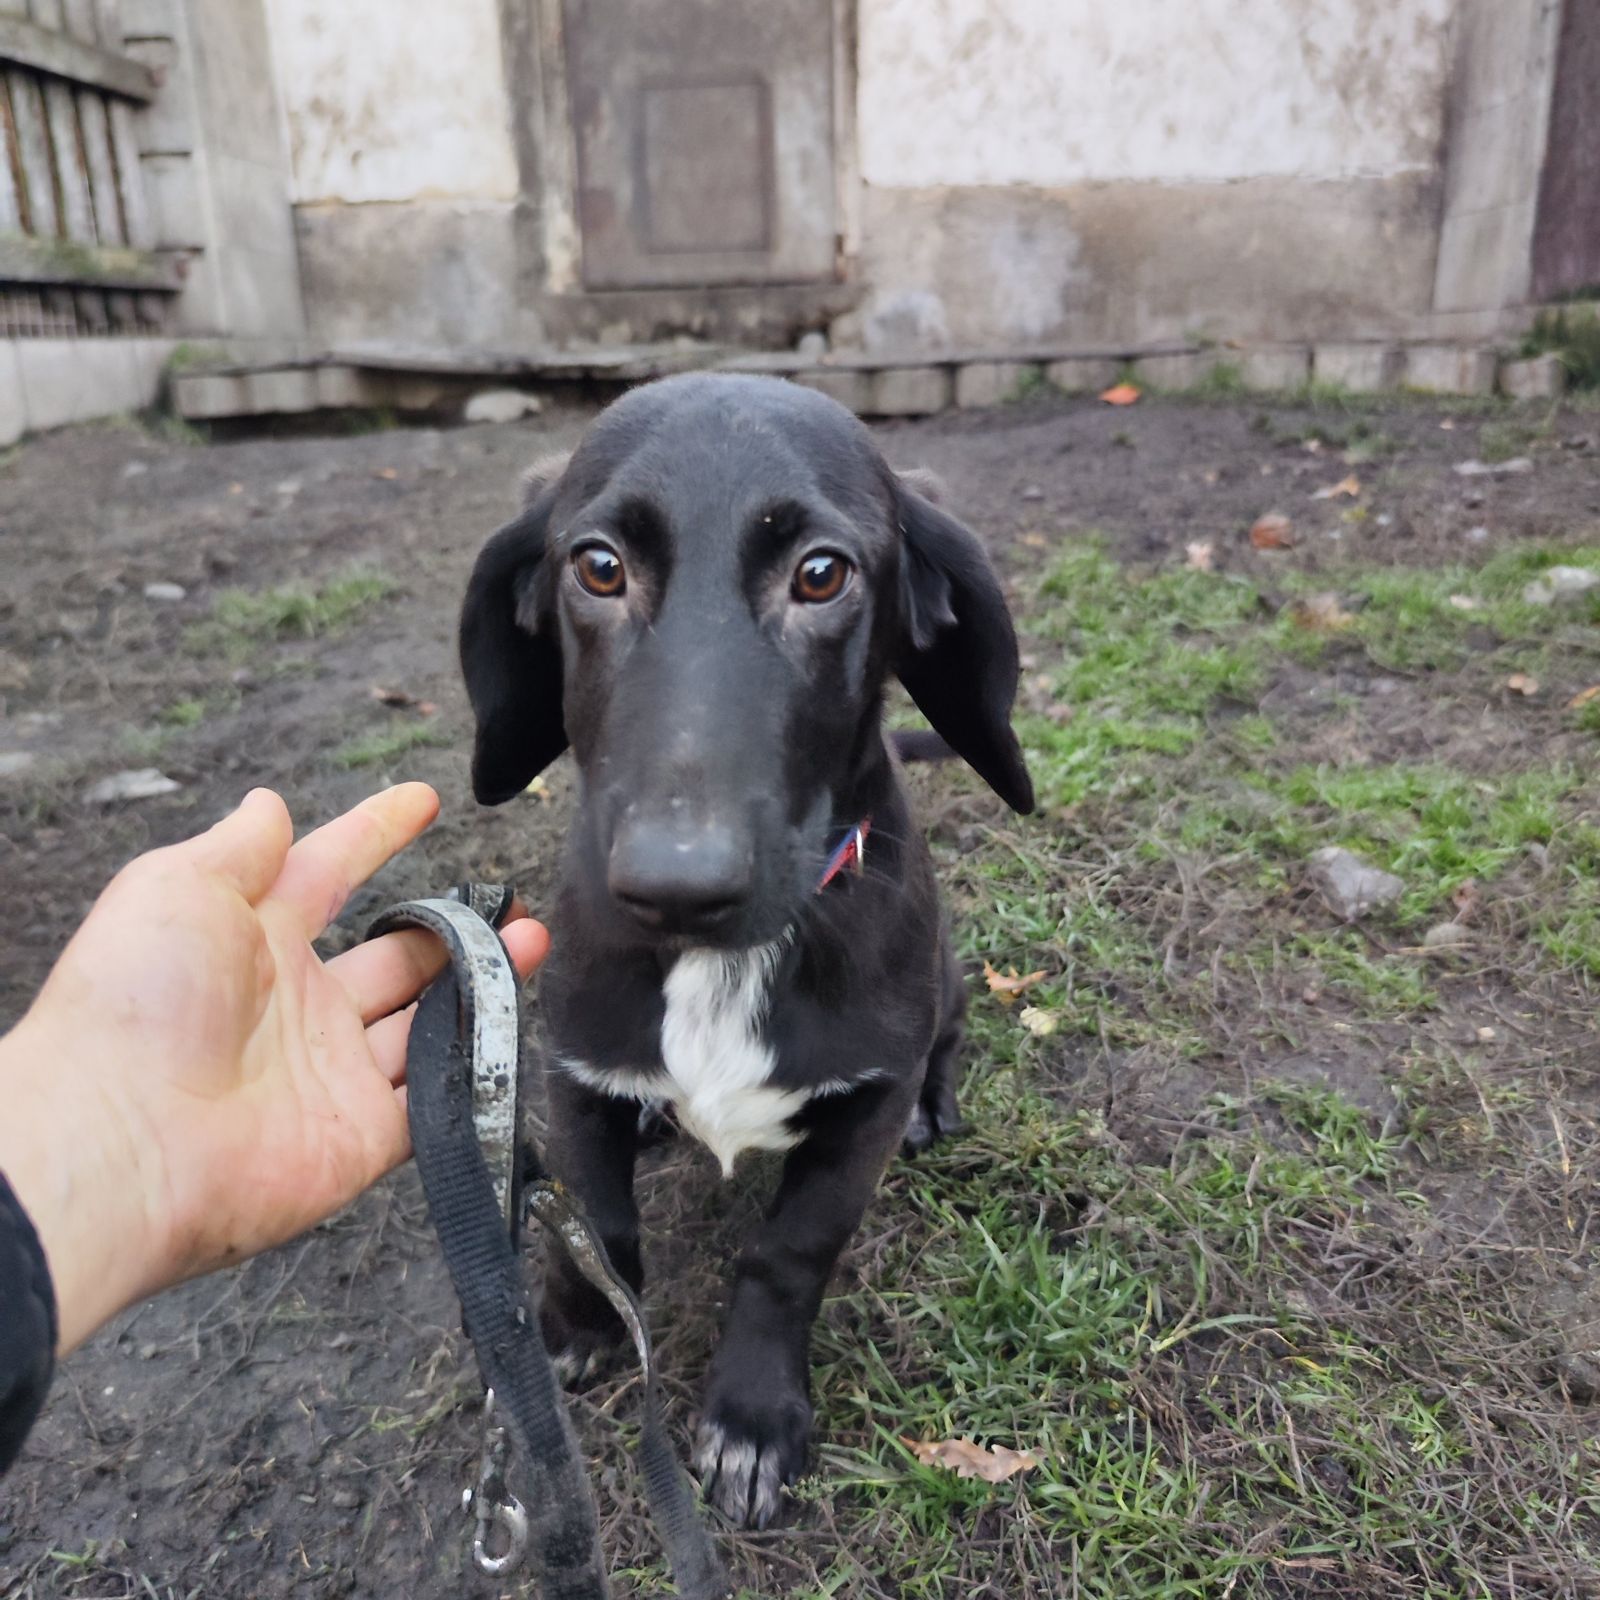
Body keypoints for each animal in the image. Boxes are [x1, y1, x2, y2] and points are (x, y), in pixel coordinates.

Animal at [459, 372, 1033, 1528]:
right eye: (598, 566)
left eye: (821, 574)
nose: (675, 887)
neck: (720, 972)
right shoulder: (570, 1071)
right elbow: (596, 1224)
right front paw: (580, 1325)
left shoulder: (859, 1112)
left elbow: (786, 1254)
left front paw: (754, 1416)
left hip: (943, 984)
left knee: (947, 1038)